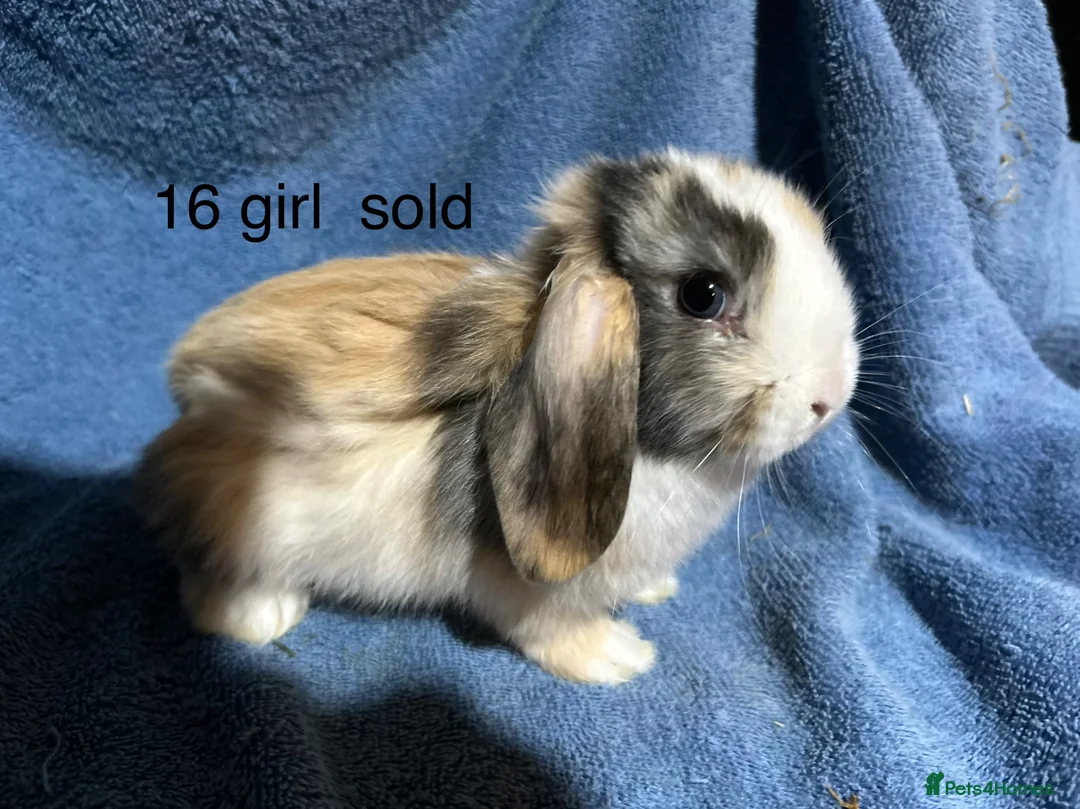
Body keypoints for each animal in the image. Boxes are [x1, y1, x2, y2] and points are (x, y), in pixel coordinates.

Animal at [133, 148, 860, 685]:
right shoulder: (528, 593)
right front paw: (619, 657)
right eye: (703, 294)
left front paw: (657, 590)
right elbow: (548, 627)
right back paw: (261, 616)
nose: (830, 397)